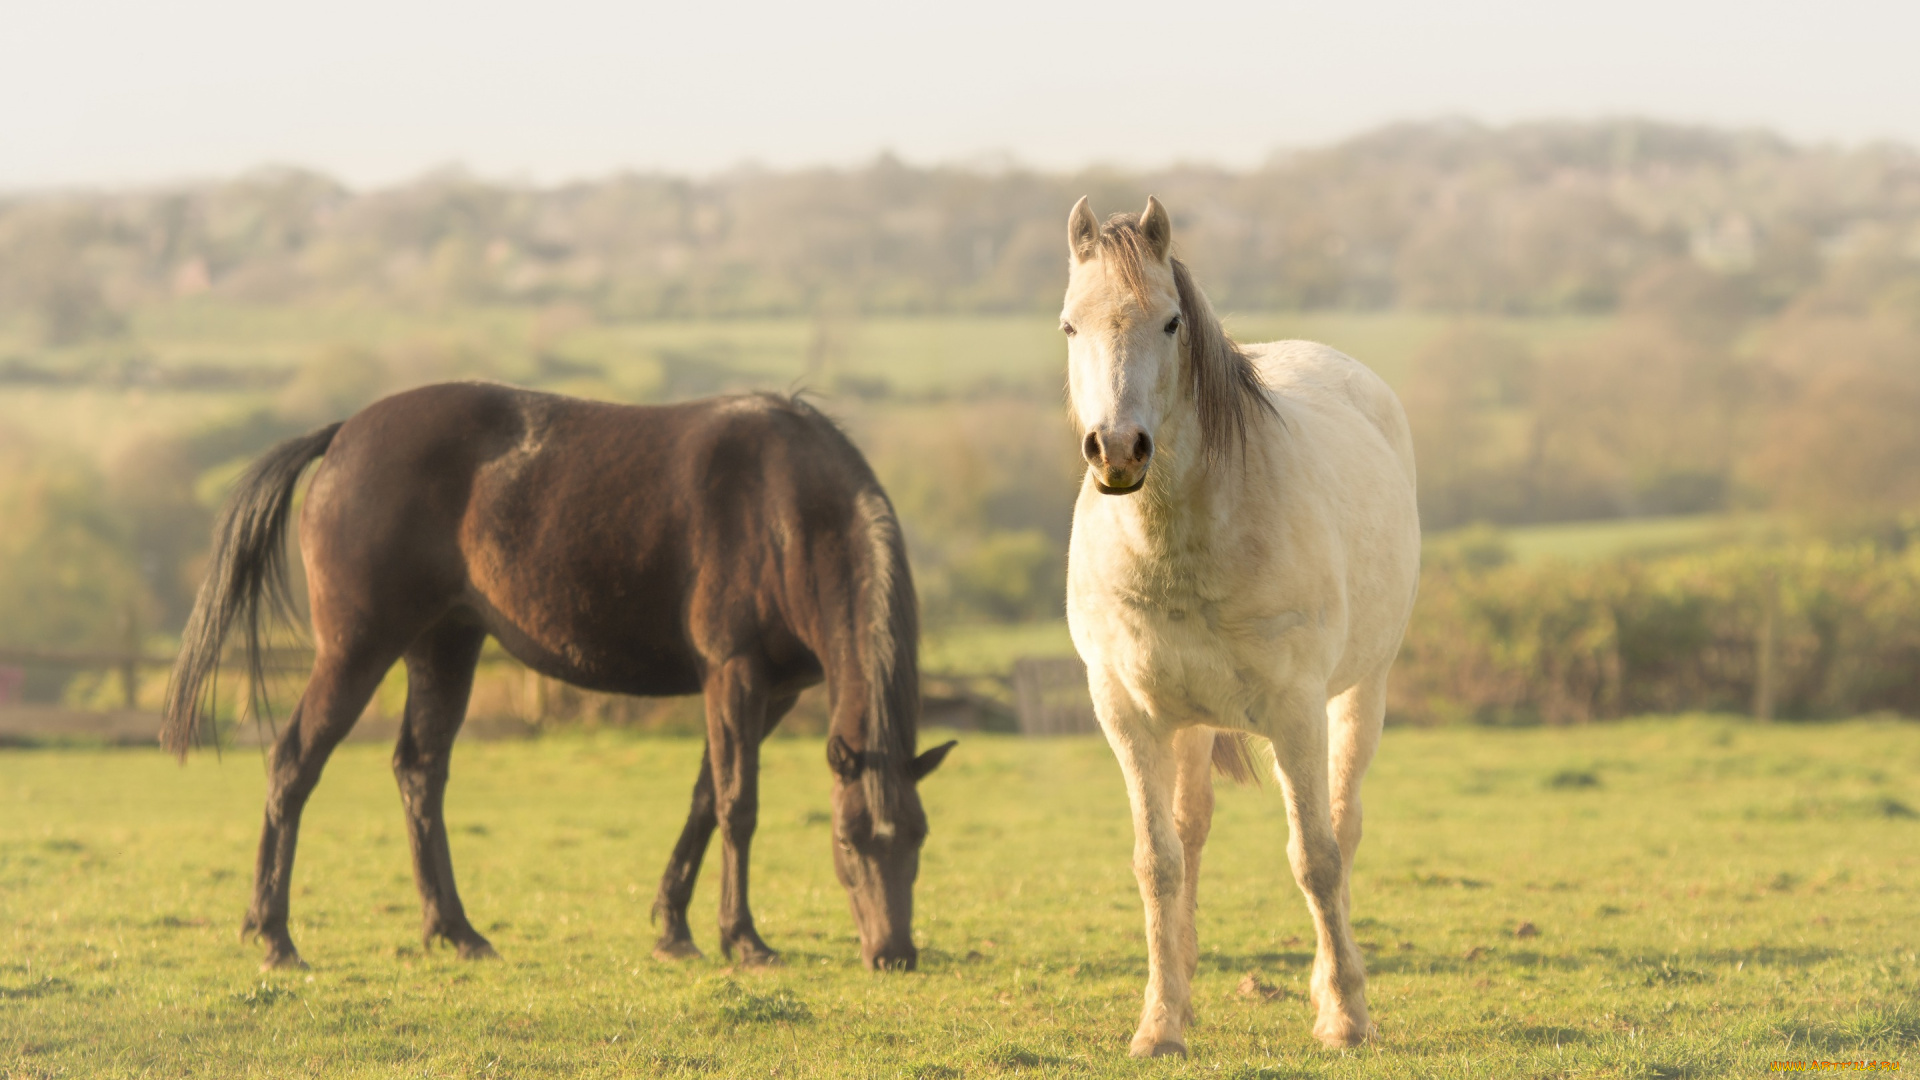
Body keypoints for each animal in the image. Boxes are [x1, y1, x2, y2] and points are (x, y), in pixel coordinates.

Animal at [161, 384, 956, 968]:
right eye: (848, 840)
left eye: (918, 836)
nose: (893, 954)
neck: (785, 507)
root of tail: (346, 432)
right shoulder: (734, 674)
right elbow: (738, 805)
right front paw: (743, 939)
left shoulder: (776, 693)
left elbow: (705, 798)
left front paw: (674, 929)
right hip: (358, 650)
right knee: (294, 764)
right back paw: (275, 935)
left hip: (444, 644)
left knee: (420, 771)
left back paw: (454, 931)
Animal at [1059, 195, 1420, 1053]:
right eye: (1070, 326)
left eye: (1169, 323)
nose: (1117, 449)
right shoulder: (1127, 716)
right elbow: (1157, 863)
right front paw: (1160, 1024)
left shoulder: (1295, 711)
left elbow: (1316, 856)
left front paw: (1347, 1016)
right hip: (1188, 723)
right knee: (1190, 835)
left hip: (1361, 692)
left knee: (1343, 825)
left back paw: (1330, 992)